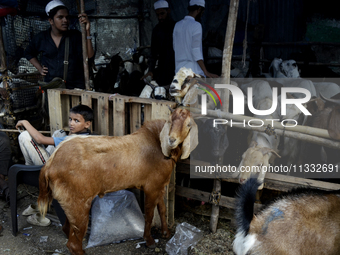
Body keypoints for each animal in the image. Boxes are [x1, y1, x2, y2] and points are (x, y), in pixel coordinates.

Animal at [37, 108, 198, 255]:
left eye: (188, 124)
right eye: (170, 121)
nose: (172, 140)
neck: (158, 144)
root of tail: (50, 164)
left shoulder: (160, 185)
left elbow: (162, 209)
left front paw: (166, 233)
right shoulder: (151, 187)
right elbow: (149, 214)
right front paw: (149, 240)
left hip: (70, 200)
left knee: (67, 228)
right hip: (79, 201)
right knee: (73, 244)